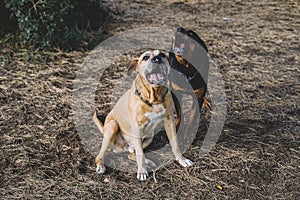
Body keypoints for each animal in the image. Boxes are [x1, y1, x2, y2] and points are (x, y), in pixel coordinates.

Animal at [94, 50, 192, 181]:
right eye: (145, 57)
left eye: (162, 55)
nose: (156, 59)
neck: (154, 98)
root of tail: (124, 147)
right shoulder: (137, 127)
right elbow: (140, 153)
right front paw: (141, 171)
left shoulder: (169, 121)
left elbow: (175, 144)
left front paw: (182, 160)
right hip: (112, 127)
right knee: (101, 155)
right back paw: (101, 165)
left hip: (150, 136)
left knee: (132, 154)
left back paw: (148, 162)